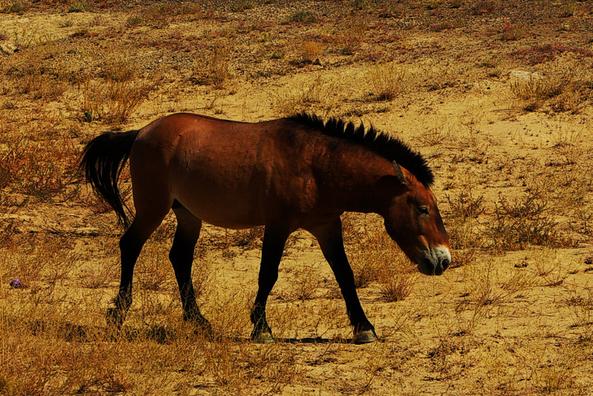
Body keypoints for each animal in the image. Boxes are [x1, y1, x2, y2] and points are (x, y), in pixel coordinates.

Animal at [80, 111, 448, 344]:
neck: (316, 165)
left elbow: (344, 274)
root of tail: (140, 133)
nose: (442, 260)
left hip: (187, 215)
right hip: (152, 209)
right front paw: (262, 328)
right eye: (423, 208)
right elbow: (267, 275)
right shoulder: (278, 225)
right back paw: (119, 313)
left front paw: (364, 327)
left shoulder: (327, 225)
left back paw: (198, 321)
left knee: (180, 258)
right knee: (130, 246)